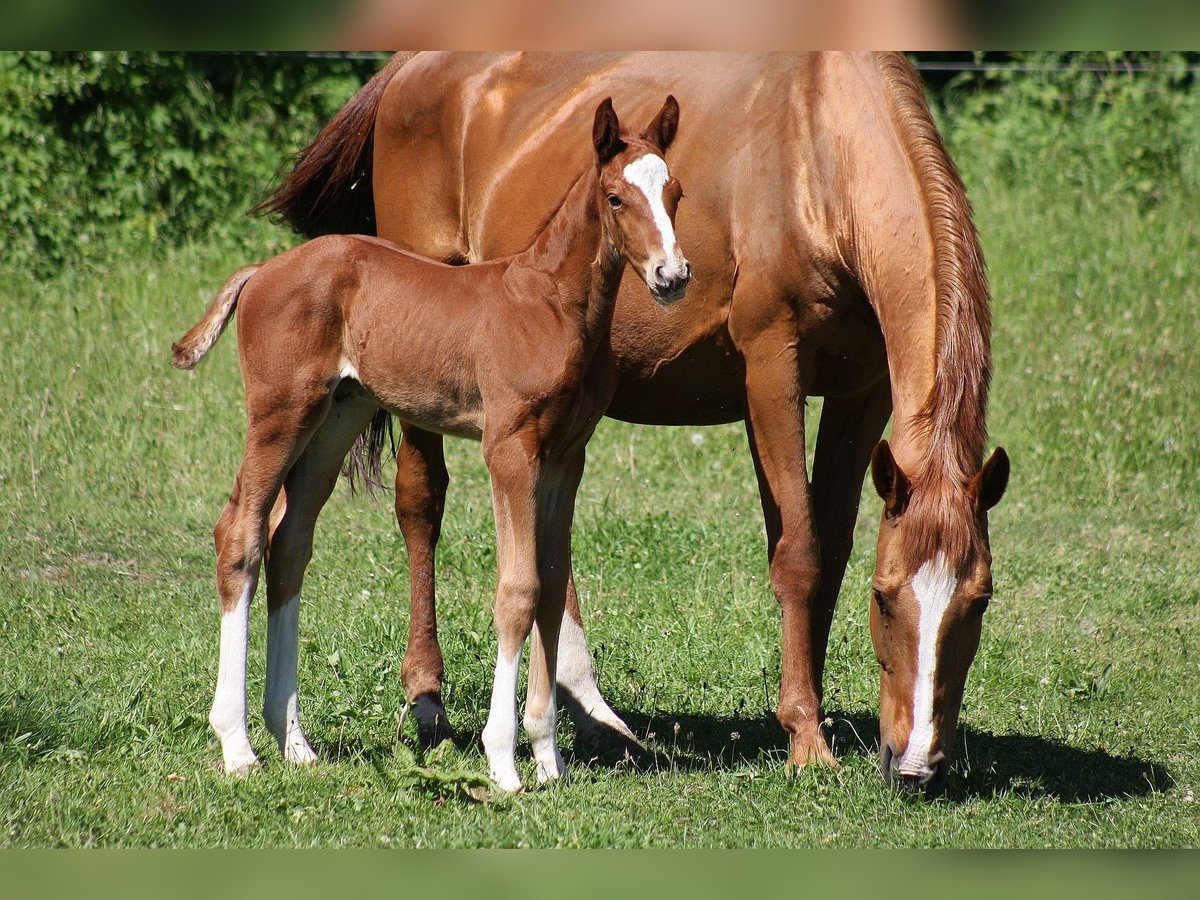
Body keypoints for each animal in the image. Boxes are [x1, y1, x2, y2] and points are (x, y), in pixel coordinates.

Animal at [174, 96, 690, 791]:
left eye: (675, 193)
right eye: (615, 197)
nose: (672, 274)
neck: (553, 304)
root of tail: (261, 272)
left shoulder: (564, 457)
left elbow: (553, 585)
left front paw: (547, 757)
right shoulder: (510, 447)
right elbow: (517, 590)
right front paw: (504, 761)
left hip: (335, 420)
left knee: (289, 545)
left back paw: (295, 741)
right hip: (280, 413)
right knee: (240, 534)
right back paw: (238, 745)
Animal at [260, 52, 1009, 795]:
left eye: (979, 602)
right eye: (885, 600)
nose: (916, 766)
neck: (818, 154)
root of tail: (407, 70)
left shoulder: (863, 390)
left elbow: (830, 550)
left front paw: (817, 717)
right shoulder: (772, 365)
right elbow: (798, 553)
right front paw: (803, 735)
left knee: (546, 562)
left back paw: (584, 716)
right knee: (422, 504)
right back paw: (431, 702)